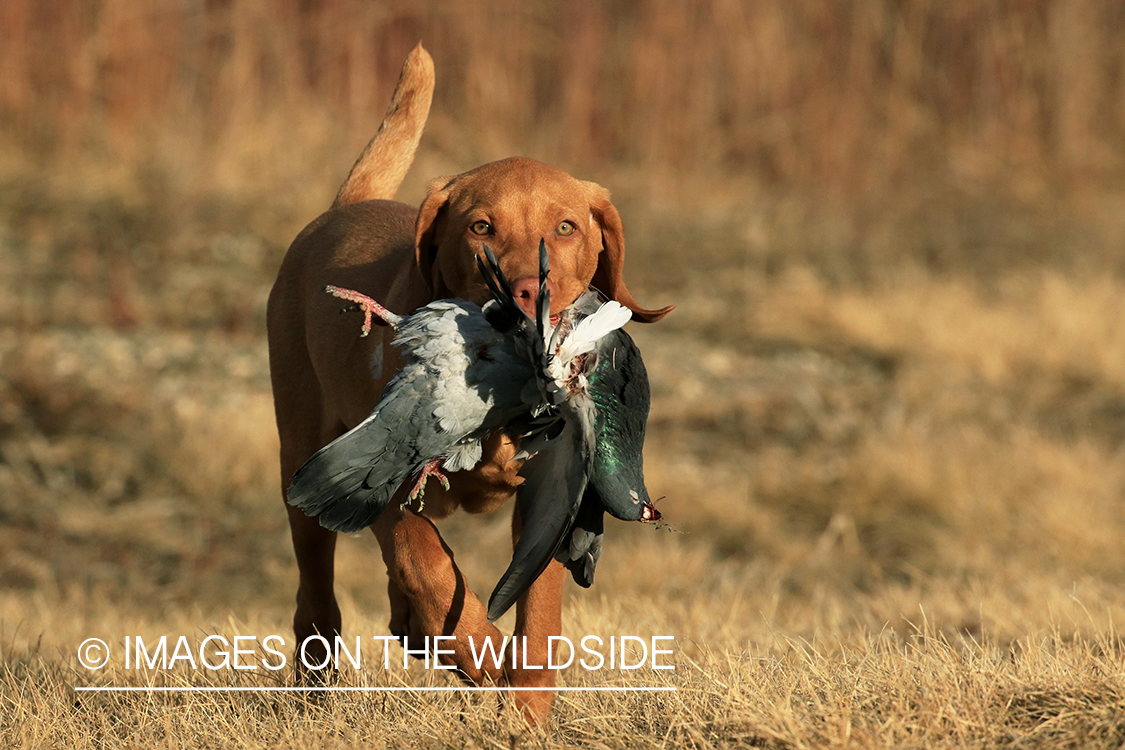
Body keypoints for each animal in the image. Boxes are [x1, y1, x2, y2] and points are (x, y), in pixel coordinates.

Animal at [267, 42, 670, 719]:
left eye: (567, 227)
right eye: (481, 227)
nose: (528, 292)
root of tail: (344, 208)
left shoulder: (551, 494)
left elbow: (538, 608)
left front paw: (525, 708)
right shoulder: (387, 485)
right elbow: (429, 569)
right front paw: (483, 656)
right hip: (301, 451)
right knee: (318, 596)